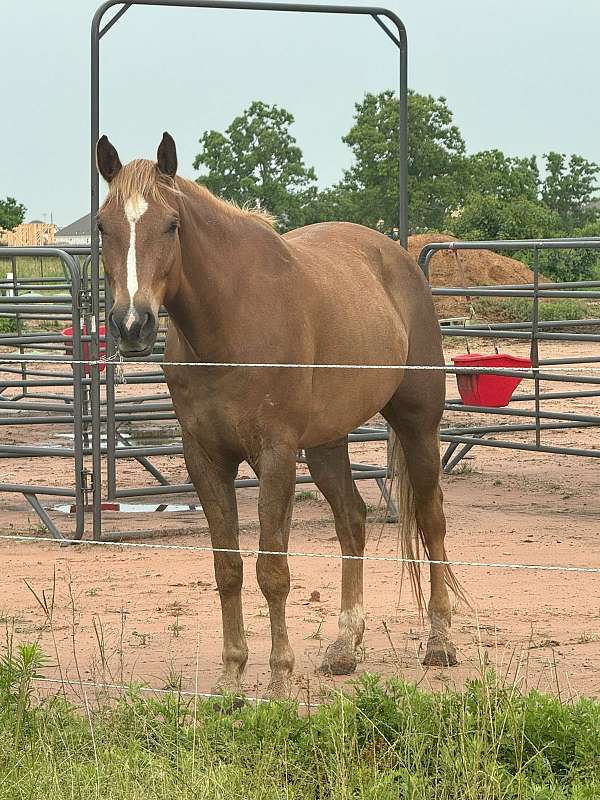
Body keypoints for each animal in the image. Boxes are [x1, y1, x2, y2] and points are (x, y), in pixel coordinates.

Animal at [97, 134, 464, 696]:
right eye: (102, 225)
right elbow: (228, 567)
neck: (231, 323)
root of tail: (401, 262)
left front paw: (277, 681)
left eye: (172, 224)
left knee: (432, 519)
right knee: (352, 521)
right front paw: (231, 679)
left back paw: (440, 641)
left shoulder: (274, 455)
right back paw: (344, 646)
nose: (132, 324)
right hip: (327, 442)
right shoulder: (206, 457)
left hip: (417, 425)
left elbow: (272, 569)